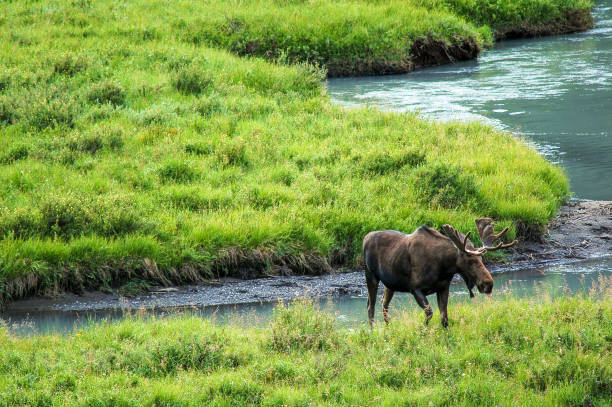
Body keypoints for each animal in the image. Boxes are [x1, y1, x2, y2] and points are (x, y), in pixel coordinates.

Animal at [364, 218, 516, 326]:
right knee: (371, 307)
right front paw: (423, 329)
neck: (443, 266)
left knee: (384, 304)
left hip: (390, 284)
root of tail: (365, 237)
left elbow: (445, 319)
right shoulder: (415, 288)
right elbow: (429, 313)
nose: (488, 284)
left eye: (481, 258)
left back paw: (388, 327)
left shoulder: (443, 288)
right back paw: (373, 331)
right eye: (470, 260)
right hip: (371, 276)